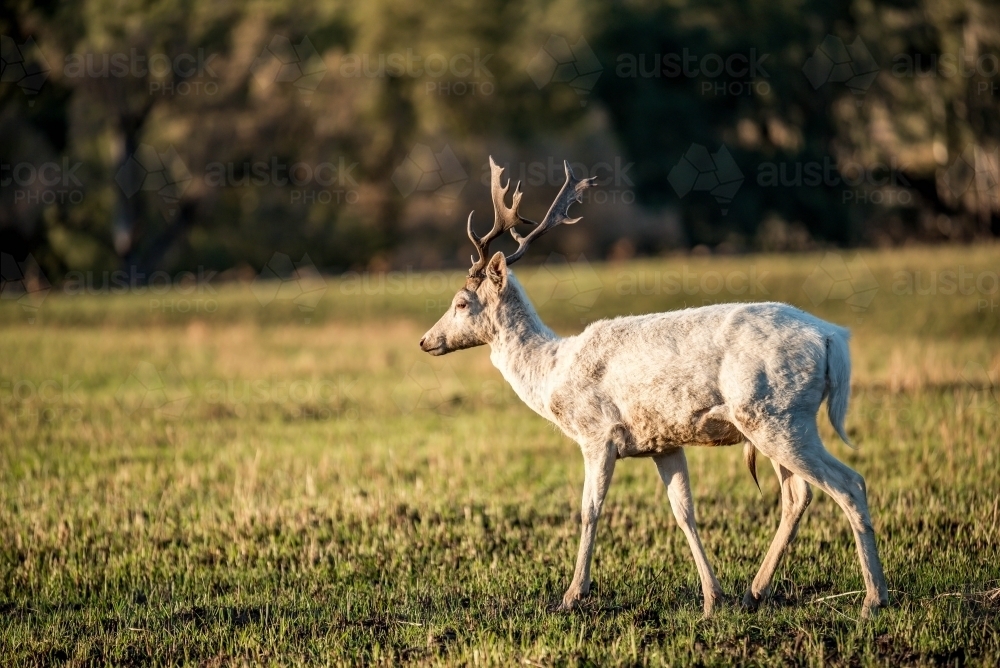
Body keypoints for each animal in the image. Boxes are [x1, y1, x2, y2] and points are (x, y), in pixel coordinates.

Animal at [418, 157, 888, 616]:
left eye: (461, 302)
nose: (425, 341)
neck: (552, 372)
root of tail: (833, 338)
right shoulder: (664, 442)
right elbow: (684, 513)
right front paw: (712, 597)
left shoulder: (598, 432)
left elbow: (589, 510)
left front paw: (573, 595)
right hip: (772, 420)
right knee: (797, 495)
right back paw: (755, 591)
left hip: (779, 416)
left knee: (850, 483)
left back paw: (872, 599)